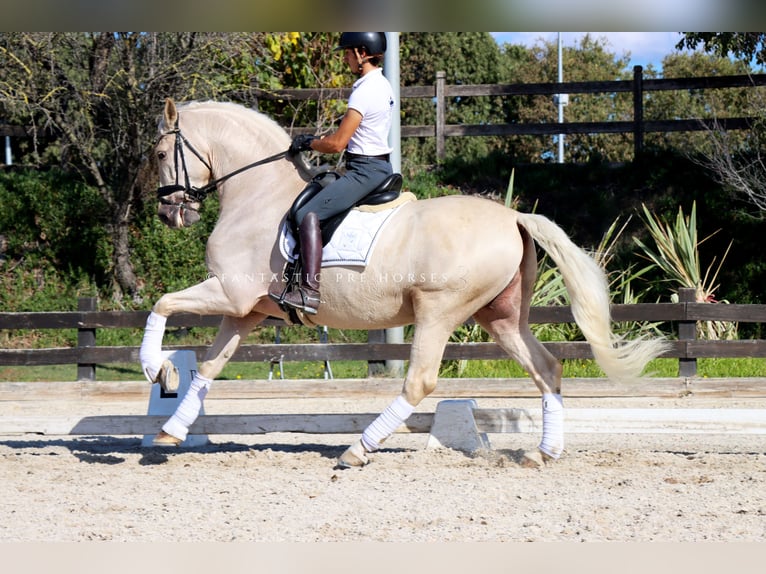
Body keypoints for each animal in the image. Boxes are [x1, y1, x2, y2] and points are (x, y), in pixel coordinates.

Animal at [141, 98, 668, 468]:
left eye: (162, 152)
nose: (170, 214)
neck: (259, 195)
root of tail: (513, 216)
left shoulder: (228, 293)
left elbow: (162, 304)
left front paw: (157, 368)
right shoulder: (246, 311)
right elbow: (209, 368)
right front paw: (171, 428)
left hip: (439, 310)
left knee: (420, 380)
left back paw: (358, 448)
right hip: (499, 317)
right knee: (547, 368)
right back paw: (543, 453)